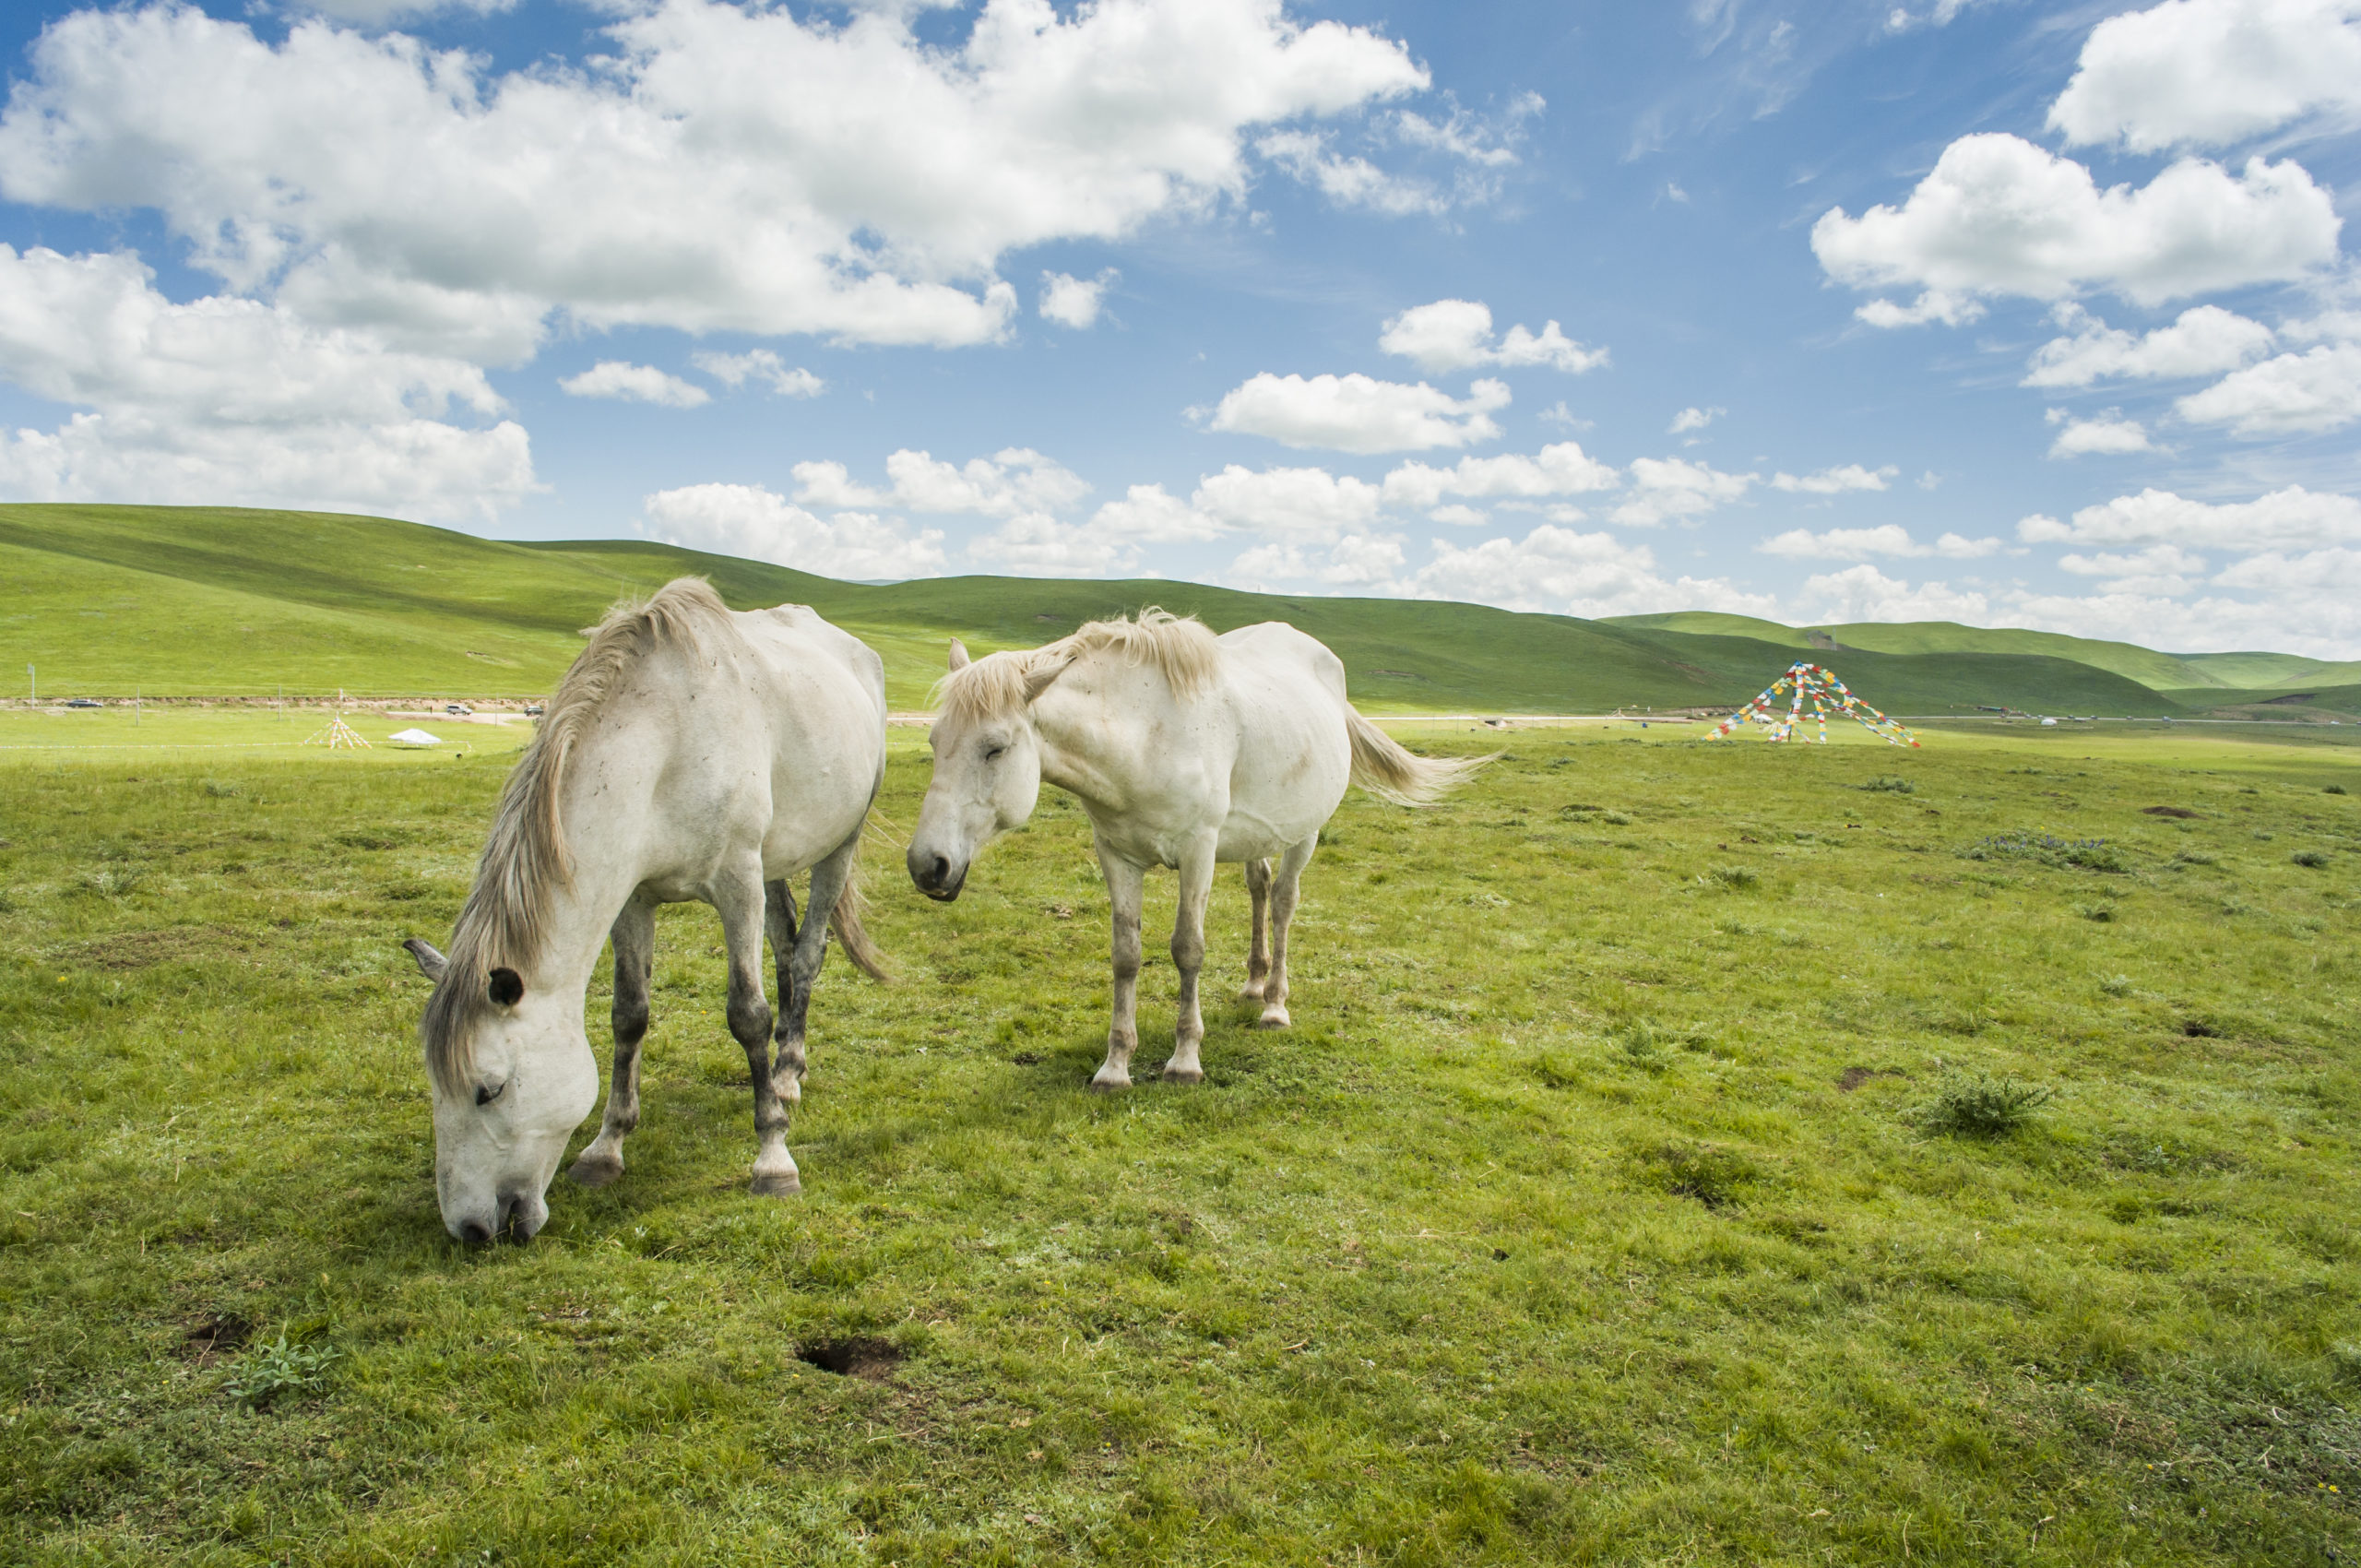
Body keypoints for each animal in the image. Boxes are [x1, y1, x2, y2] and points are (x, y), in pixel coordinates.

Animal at [406, 580, 887, 1246]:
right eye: (433, 1087)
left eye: (489, 1090)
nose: (471, 1229)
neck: (668, 740)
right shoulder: (632, 899)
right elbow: (629, 1015)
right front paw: (605, 1149)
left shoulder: (737, 884)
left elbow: (748, 1016)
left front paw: (772, 1156)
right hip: (777, 858)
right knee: (787, 950)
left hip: (835, 848)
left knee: (809, 955)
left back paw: (787, 1075)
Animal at [907, 613, 1482, 1090]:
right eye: (934, 743)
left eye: (995, 748)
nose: (926, 866)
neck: (1144, 739)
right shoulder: (1116, 855)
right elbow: (1126, 955)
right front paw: (1115, 1067)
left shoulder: (1198, 852)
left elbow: (1188, 949)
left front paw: (1185, 1061)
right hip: (1256, 835)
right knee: (1259, 888)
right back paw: (1253, 985)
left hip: (1305, 833)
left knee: (1284, 903)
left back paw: (1274, 1005)